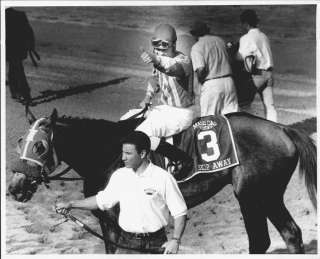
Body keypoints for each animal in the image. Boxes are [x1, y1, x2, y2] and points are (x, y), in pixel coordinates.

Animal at [8, 107, 318, 254]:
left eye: (40, 147)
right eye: (21, 141)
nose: (14, 188)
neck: (107, 151)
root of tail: (283, 129)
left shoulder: (119, 223)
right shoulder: (107, 221)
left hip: (257, 195)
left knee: (277, 237)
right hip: (259, 196)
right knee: (275, 237)